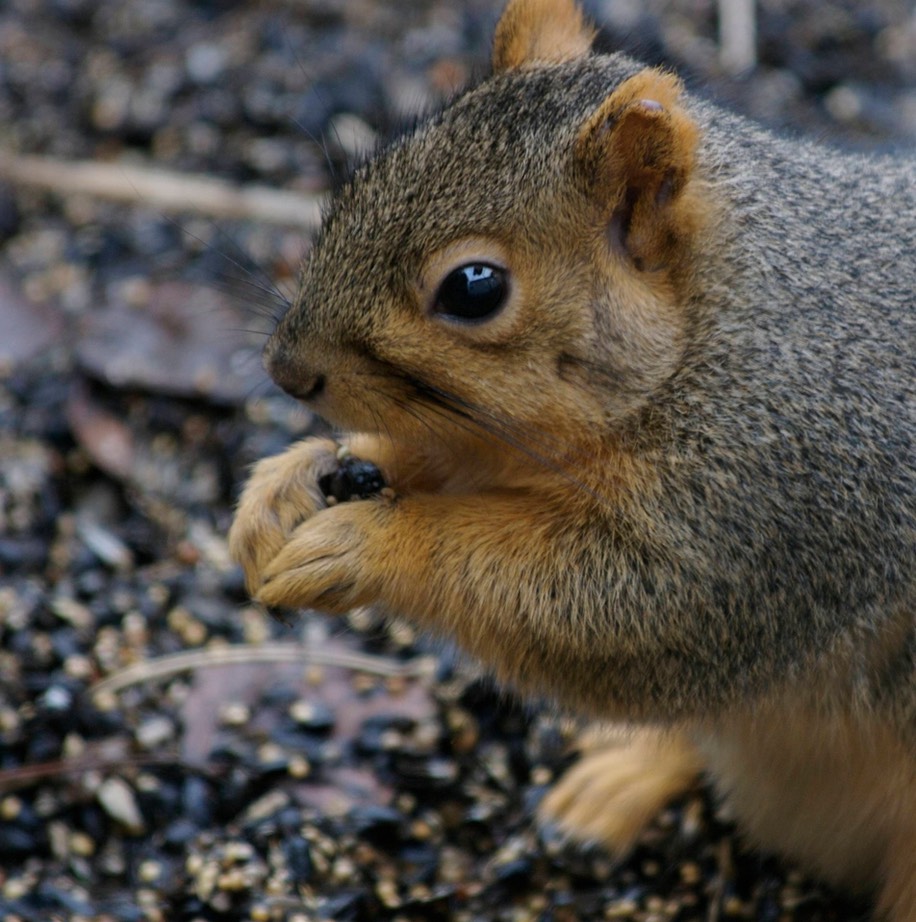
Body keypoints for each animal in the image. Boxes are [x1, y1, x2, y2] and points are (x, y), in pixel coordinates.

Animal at [227, 0, 916, 912]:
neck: (710, 335)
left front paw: (371, 543)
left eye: (475, 288)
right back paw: (614, 785)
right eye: (360, 185)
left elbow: (619, 616)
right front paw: (282, 488)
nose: (286, 369)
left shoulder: (771, 512)